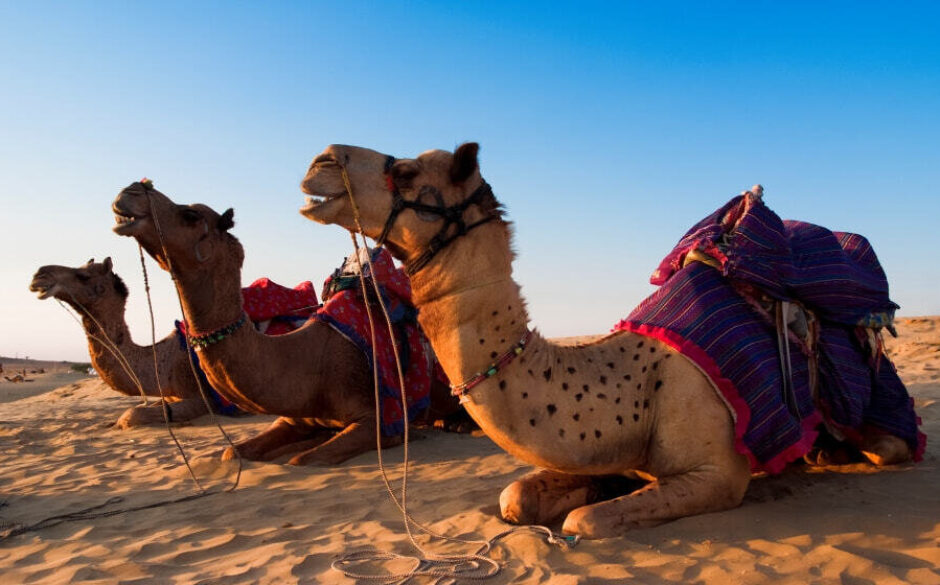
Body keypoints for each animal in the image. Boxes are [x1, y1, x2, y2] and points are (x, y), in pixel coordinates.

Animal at [30, 258, 214, 426]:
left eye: (83, 276)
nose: (38, 276)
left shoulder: (202, 398)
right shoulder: (169, 396)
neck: (165, 364)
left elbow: (131, 414)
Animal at [112, 182, 464, 466]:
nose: (130, 191)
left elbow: (306, 459)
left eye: (190, 215)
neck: (310, 363)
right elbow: (233, 452)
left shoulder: (378, 418)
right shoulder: (293, 418)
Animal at [302, 143, 924, 540]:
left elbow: (586, 522)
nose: (320, 162)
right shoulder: (608, 450)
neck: (632, 392)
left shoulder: (718, 474)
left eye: (406, 171)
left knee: (889, 445)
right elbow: (515, 499)